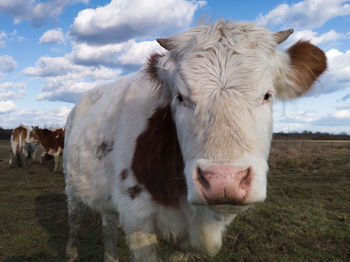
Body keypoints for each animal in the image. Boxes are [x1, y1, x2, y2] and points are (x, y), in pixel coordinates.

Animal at [63, 21, 328, 262]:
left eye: (267, 95)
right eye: (180, 97)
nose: (224, 181)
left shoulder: (185, 240)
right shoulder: (136, 220)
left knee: (107, 225)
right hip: (71, 184)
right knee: (74, 220)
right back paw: (71, 253)